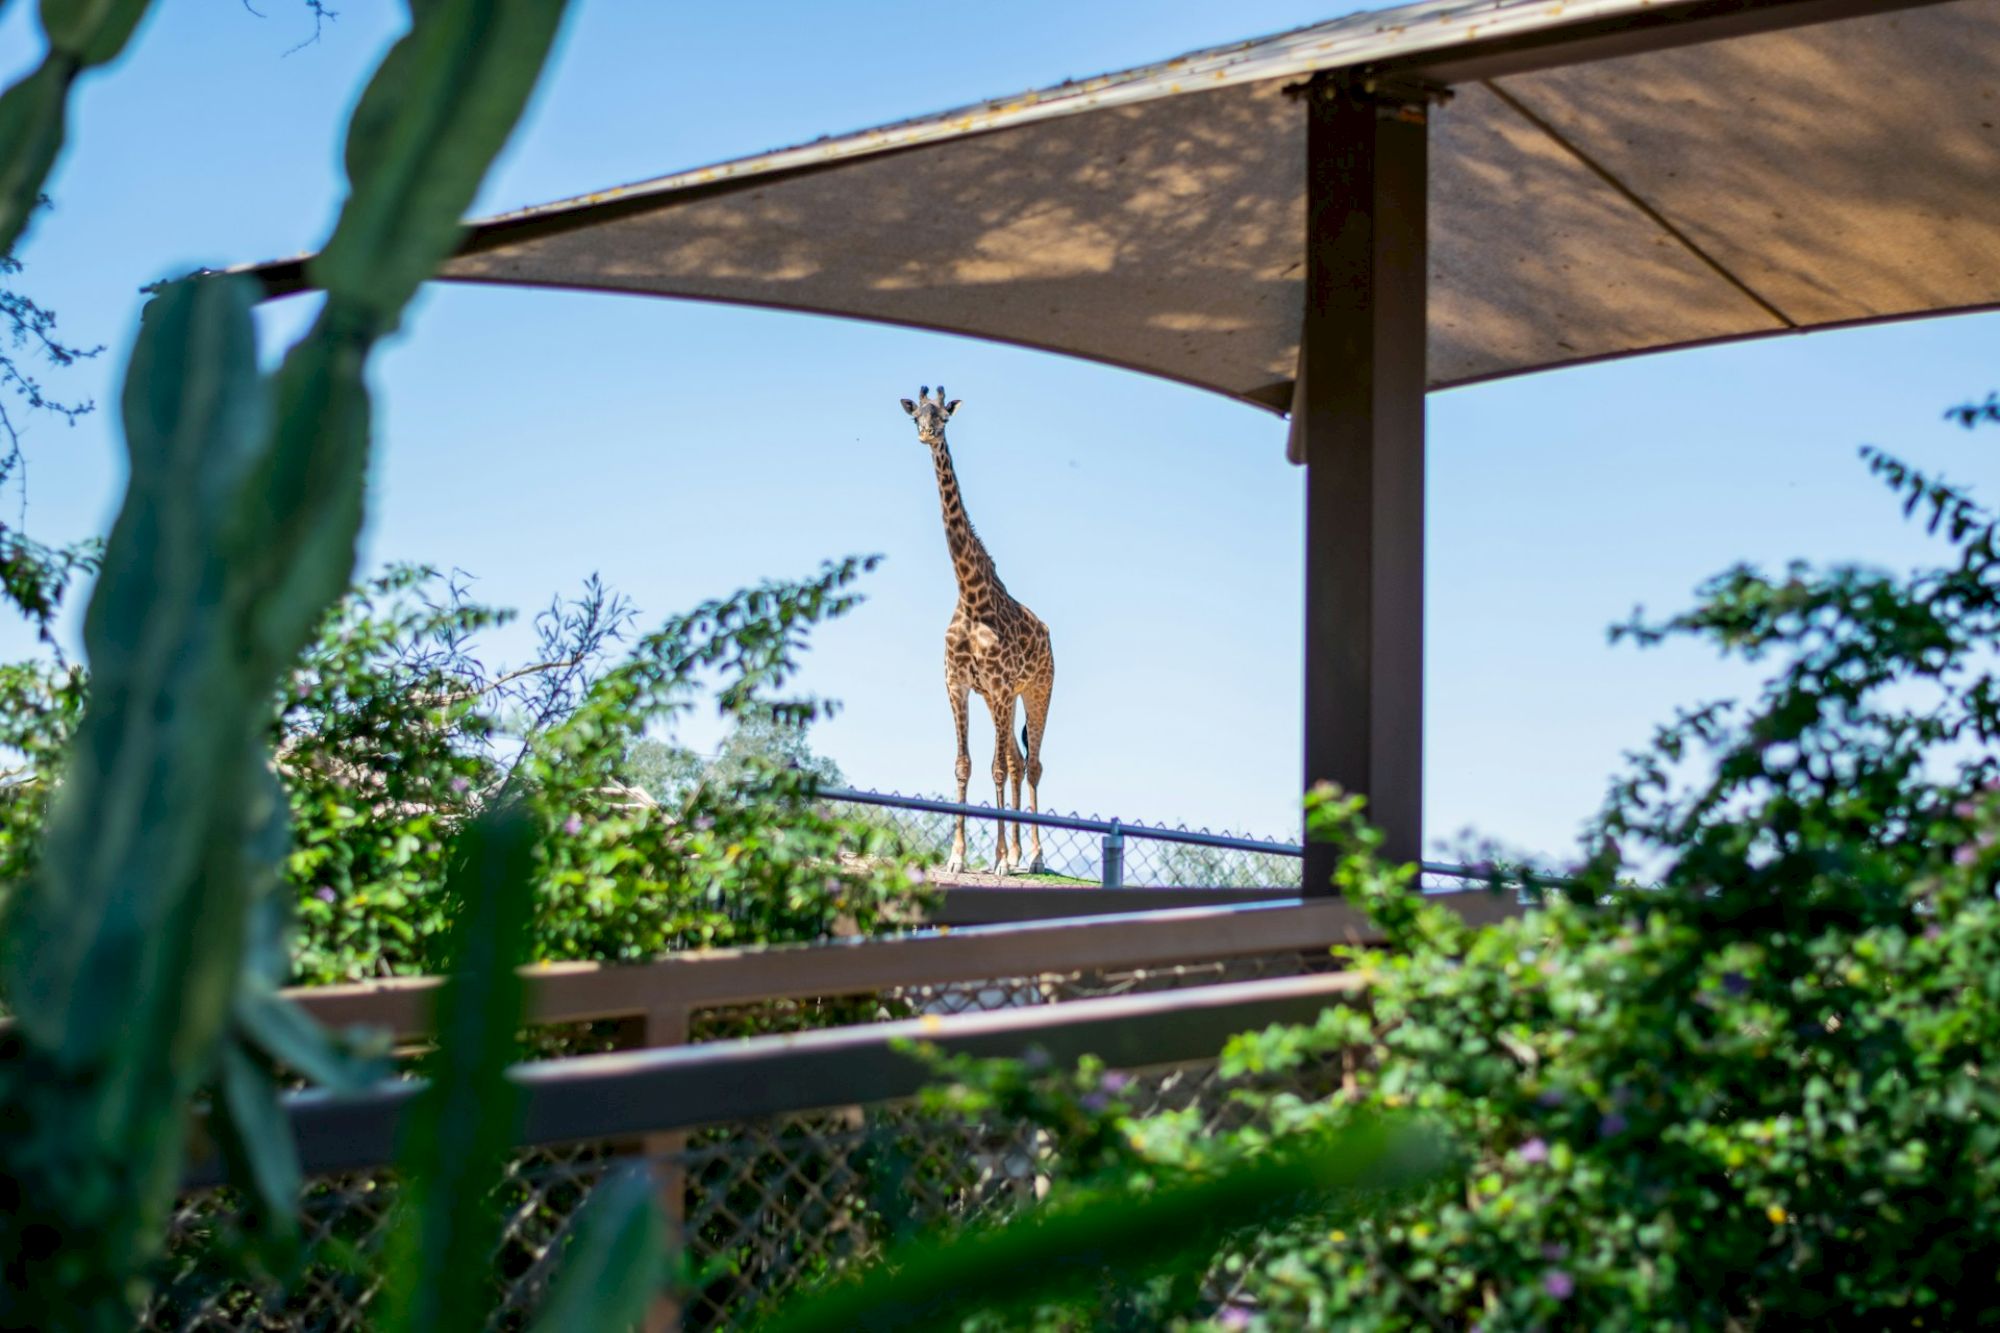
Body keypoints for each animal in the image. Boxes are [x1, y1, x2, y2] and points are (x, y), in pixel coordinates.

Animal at [904, 384, 1056, 872]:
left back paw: (1033, 858)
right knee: (1016, 758)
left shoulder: (1003, 686)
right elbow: (965, 766)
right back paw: (1017, 853)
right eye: (916, 415)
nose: (927, 435)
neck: (972, 597)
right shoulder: (958, 684)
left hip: (1037, 689)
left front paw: (1002, 861)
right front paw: (957, 858)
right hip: (996, 698)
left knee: (1031, 764)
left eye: (944, 417)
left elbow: (996, 769)